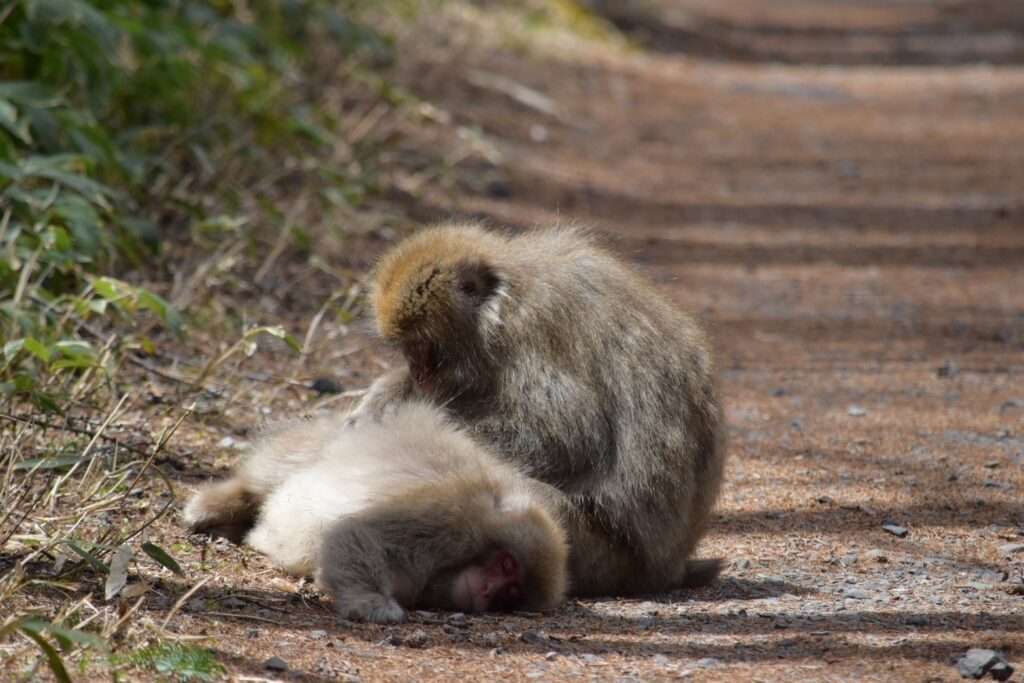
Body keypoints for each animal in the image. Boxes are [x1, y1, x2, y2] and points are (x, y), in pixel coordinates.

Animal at [184, 403, 569, 622]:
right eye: (506, 565)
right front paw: (371, 603)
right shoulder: (453, 517)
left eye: (511, 593)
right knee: (271, 477)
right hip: (326, 441)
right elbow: (356, 534)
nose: (489, 590)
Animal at [352, 222, 729, 593]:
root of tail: (668, 571)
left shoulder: (530, 330)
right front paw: (387, 394)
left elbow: (567, 438)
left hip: (599, 554)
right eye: (405, 349)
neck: (500, 305)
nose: (417, 371)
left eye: (422, 346)